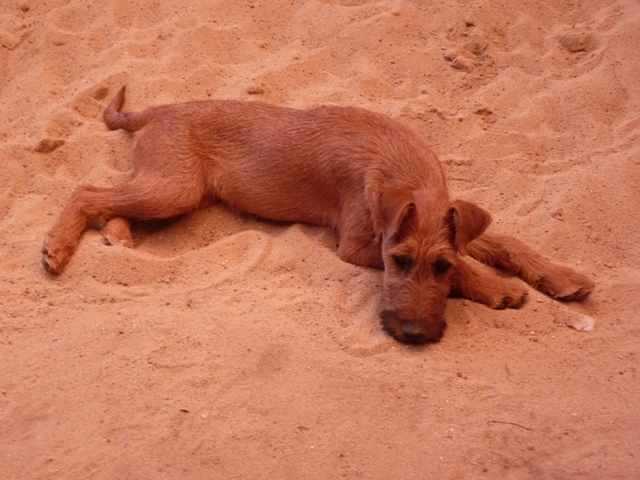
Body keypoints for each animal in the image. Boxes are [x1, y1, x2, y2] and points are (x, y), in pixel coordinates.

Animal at [42, 86, 594, 344]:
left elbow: (505, 242)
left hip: (177, 192)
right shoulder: (359, 245)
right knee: (87, 190)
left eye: (437, 265)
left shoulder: (450, 223)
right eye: (398, 261)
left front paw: (561, 275)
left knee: (111, 199)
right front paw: (497, 288)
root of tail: (158, 109)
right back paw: (58, 247)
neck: (403, 166)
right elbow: (476, 266)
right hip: (173, 189)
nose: (414, 336)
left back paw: (117, 238)